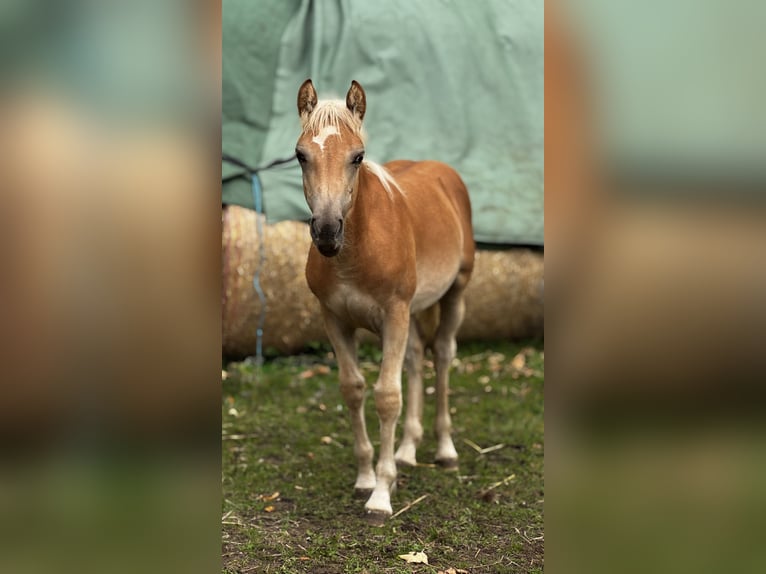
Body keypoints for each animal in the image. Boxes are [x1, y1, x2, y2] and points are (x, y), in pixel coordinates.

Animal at [295, 79, 474, 525]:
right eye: (300, 155)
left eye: (358, 156)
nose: (327, 232)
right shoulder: (335, 320)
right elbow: (353, 389)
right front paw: (366, 477)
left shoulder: (393, 315)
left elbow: (387, 397)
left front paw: (380, 495)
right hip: (412, 313)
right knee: (415, 358)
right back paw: (408, 450)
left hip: (454, 295)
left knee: (442, 355)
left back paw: (445, 451)